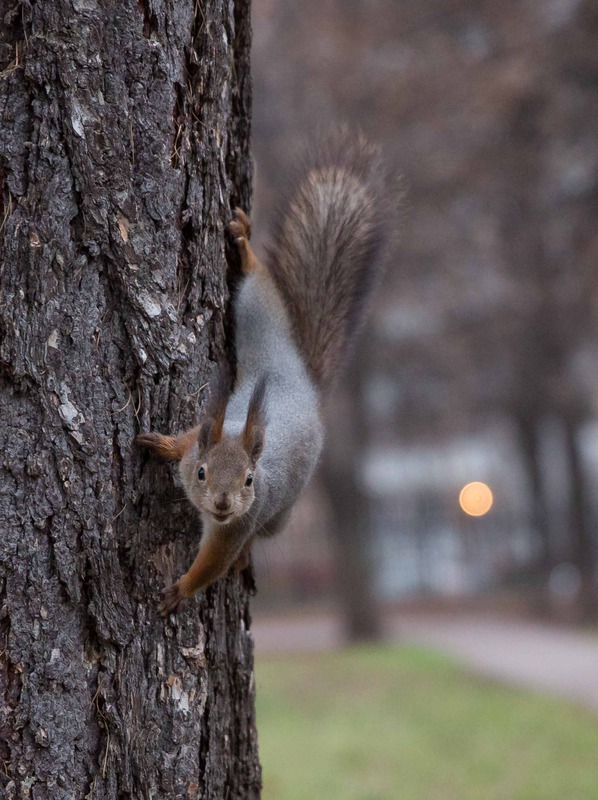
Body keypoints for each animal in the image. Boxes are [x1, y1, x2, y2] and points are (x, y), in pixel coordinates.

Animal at [138, 134, 392, 616]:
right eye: (202, 473)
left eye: (249, 481)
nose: (222, 503)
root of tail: (302, 384)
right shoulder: (207, 433)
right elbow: (185, 439)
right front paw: (161, 444)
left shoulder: (239, 523)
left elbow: (213, 564)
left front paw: (179, 591)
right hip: (264, 329)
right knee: (259, 291)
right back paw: (243, 247)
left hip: (282, 511)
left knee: (262, 536)